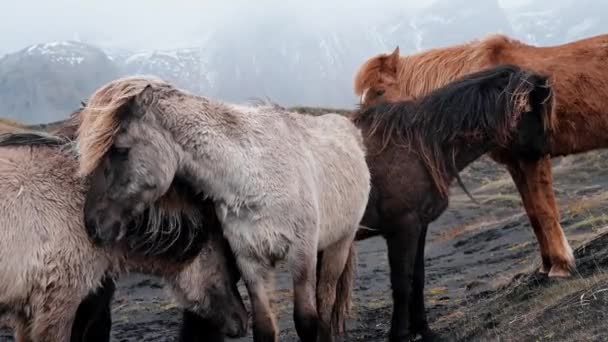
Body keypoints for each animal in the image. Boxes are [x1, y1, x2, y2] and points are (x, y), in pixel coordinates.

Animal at [352, 65, 556, 342]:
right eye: (531, 109)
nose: (546, 150)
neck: (418, 146)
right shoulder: (402, 228)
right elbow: (402, 283)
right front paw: (400, 335)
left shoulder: (420, 226)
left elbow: (418, 278)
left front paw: (424, 330)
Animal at [356, 32, 608, 278]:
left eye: (380, 91)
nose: (362, 138)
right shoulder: (515, 164)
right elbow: (533, 214)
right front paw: (546, 265)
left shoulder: (532, 156)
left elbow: (545, 211)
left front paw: (561, 266)